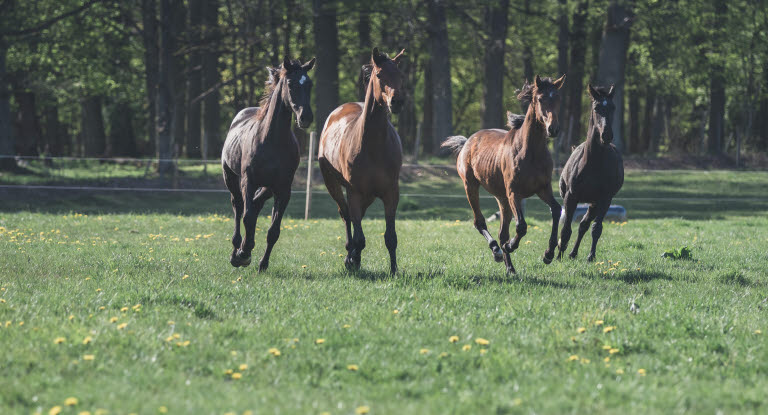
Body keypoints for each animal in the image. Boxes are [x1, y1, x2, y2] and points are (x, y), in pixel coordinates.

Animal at [222, 57, 316, 272]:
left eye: (309, 84)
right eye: (290, 83)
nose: (306, 117)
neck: (272, 141)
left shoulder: (283, 189)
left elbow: (274, 230)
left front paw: (262, 263)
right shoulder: (248, 181)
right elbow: (247, 216)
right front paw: (243, 254)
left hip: (268, 188)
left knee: (255, 205)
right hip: (231, 178)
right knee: (238, 207)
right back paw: (236, 250)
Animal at [316, 47, 404, 274]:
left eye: (400, 75)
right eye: (379, 75)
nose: (397, 102)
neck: (373, 147)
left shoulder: (390, 193)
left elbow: (391, 238)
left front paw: (393, 270)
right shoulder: (354, 192)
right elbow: (360, 237)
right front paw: (352, 259)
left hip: (369, 195)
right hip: (333, 184)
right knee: (346, 215)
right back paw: (350, 254)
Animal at [440, 75, 568, 276]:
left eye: (558, 99)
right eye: (540, 99)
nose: (553, 129)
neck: (531, 152)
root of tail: (468, 141)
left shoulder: (543, 189)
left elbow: (556, 210)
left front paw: (548, 254)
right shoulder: (514, 192)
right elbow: (521, 226)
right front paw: (510, 246)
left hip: (502, 199)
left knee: (502, 232)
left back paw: (510, 268)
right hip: (472, 186)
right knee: (480, 222)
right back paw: (498, 251)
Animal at [560, 83, 624, 262]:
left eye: (613, 107)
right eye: (596, 107)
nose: (606, 135)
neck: (594, 163)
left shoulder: (605, 199)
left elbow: (596, 228)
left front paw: (591, 256)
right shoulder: (571, 196)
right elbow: (566, 229)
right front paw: (558, 256)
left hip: (594, 203)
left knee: (584, 225)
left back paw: (573, 253)